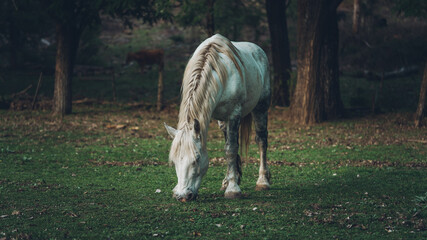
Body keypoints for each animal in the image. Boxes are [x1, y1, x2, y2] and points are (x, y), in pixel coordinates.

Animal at [164, 33, 270, 202]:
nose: (182, 196)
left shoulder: (234, 114)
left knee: (261, 140)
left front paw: (233, 190)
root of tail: (258, 49)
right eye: (174, 161)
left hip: (261, 107)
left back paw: (263, 181)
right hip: (223, 121)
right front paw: (230, 182)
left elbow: (231, 149)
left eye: (196, 159)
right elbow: (228, 150)